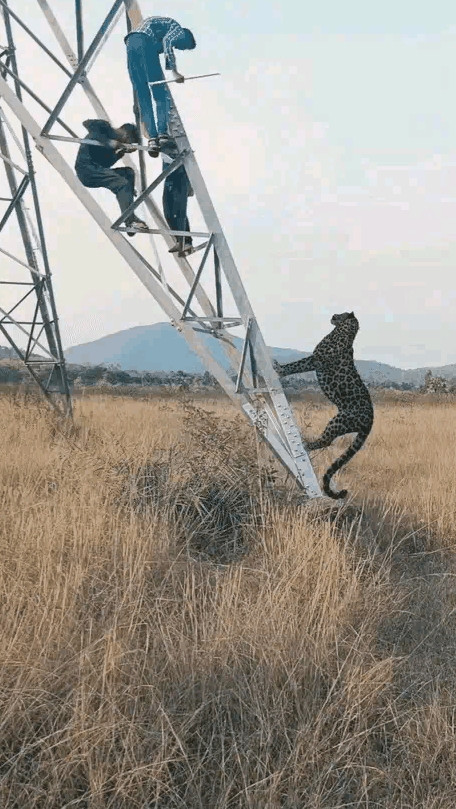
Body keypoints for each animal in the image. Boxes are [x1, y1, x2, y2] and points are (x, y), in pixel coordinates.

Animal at [274, 310, 374, 496]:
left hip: (338, 421)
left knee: (326, 441)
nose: (333, 314)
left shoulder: (315, 360)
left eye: (340, 313)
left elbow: (296, 365)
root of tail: (371, 420)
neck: (344, 332)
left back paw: (305, 442)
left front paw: (279, 369)